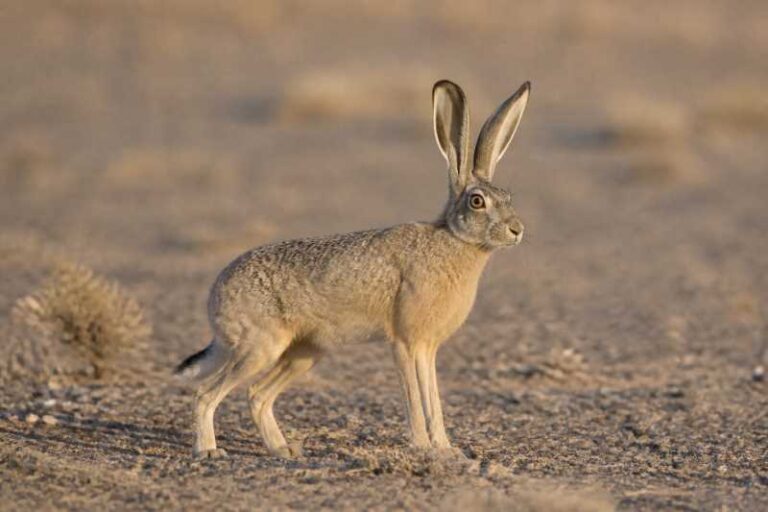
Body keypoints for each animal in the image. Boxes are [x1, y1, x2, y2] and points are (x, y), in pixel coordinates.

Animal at [175, 79, 531, 459]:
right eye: (477, 201)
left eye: (508, 196)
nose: (517, 231)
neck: (454, 239)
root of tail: (216, 298)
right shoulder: (406, 342)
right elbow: (415, 399)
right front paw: (423, 446)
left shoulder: (427, 348)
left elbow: (433, 399)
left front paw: (447, 449)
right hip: (260, 346)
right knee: (206, 394)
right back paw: (208, 451)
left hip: (304, 353)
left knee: (257, 395)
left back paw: (284, 451)